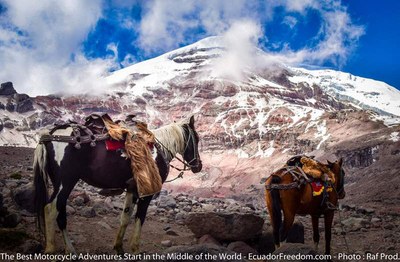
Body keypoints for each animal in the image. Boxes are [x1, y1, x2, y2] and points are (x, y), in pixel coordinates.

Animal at [33, 116, 203, 254]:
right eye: (196, 138)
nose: (198, 166)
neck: (160, 151)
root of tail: (50, 136)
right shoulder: (146, 193)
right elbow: (140, 218)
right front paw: (135, 249)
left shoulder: (132, 190)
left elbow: (125, 217)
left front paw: (119, 247)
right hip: (66, 182)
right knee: (50, 209)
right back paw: (51, 249)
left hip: (60, 184)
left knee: (60, 213)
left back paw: (70, 249)